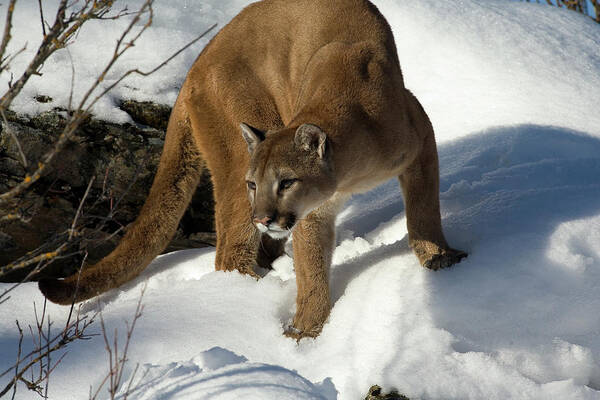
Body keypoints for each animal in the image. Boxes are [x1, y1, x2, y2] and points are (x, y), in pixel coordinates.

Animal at [39, 0, 466, 338]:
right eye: (254, 183)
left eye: (287, 182)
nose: (264, 217)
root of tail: (195, 65)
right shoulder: (314, 211)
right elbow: (312, 269)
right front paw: (306, 330)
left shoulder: (421, 142)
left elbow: (424, 209)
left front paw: (438, 255)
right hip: (237, 144)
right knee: (227, 254)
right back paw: (253, 294)